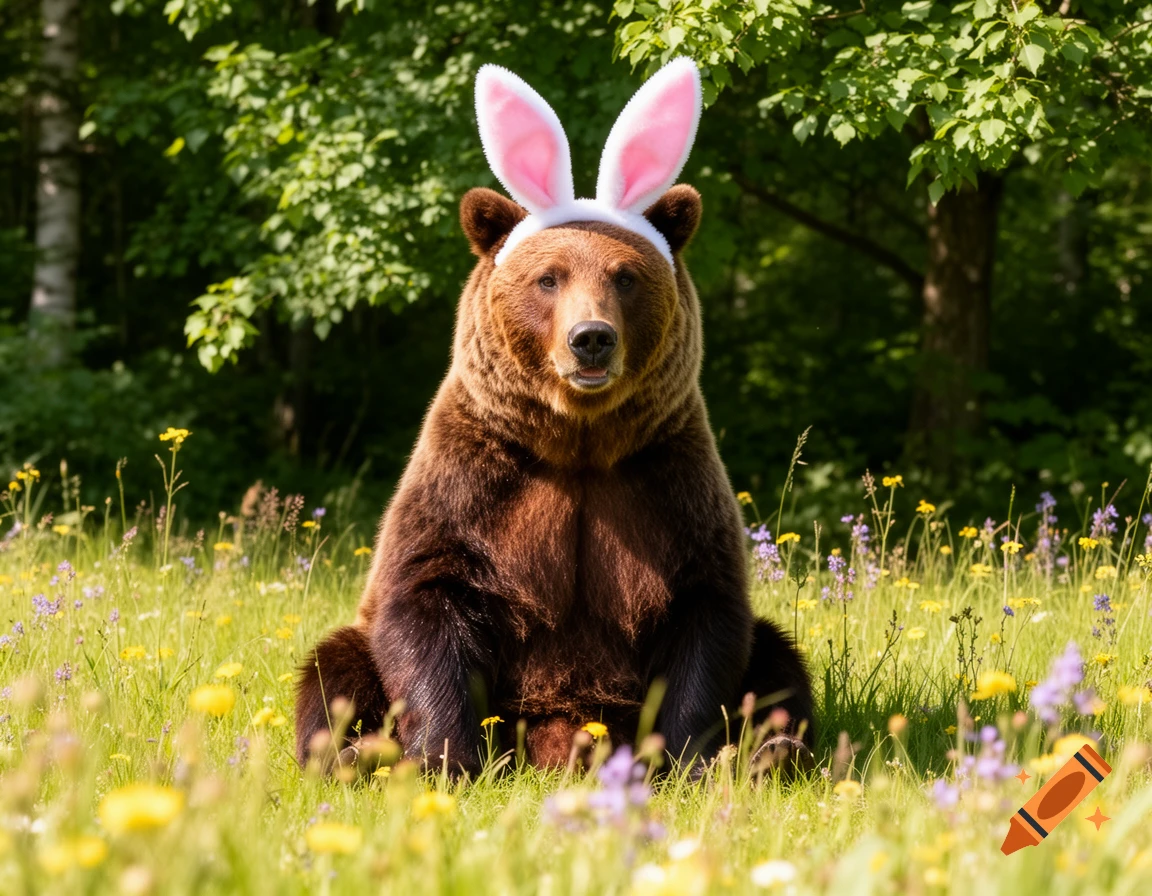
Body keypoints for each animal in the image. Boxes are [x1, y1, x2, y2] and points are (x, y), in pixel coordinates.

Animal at [294, 58, 814, 777]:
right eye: (550, 277)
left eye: (625, 275)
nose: (591, 338)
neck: (577, 441)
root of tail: (556, 734)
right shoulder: (476, 480)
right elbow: (425, 596)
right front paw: (443, 756)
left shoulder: (665, 480)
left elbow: (705, 615)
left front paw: (691, 756)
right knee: (334, 668)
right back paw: (353, 752)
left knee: (779, 661)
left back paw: (771, 749)